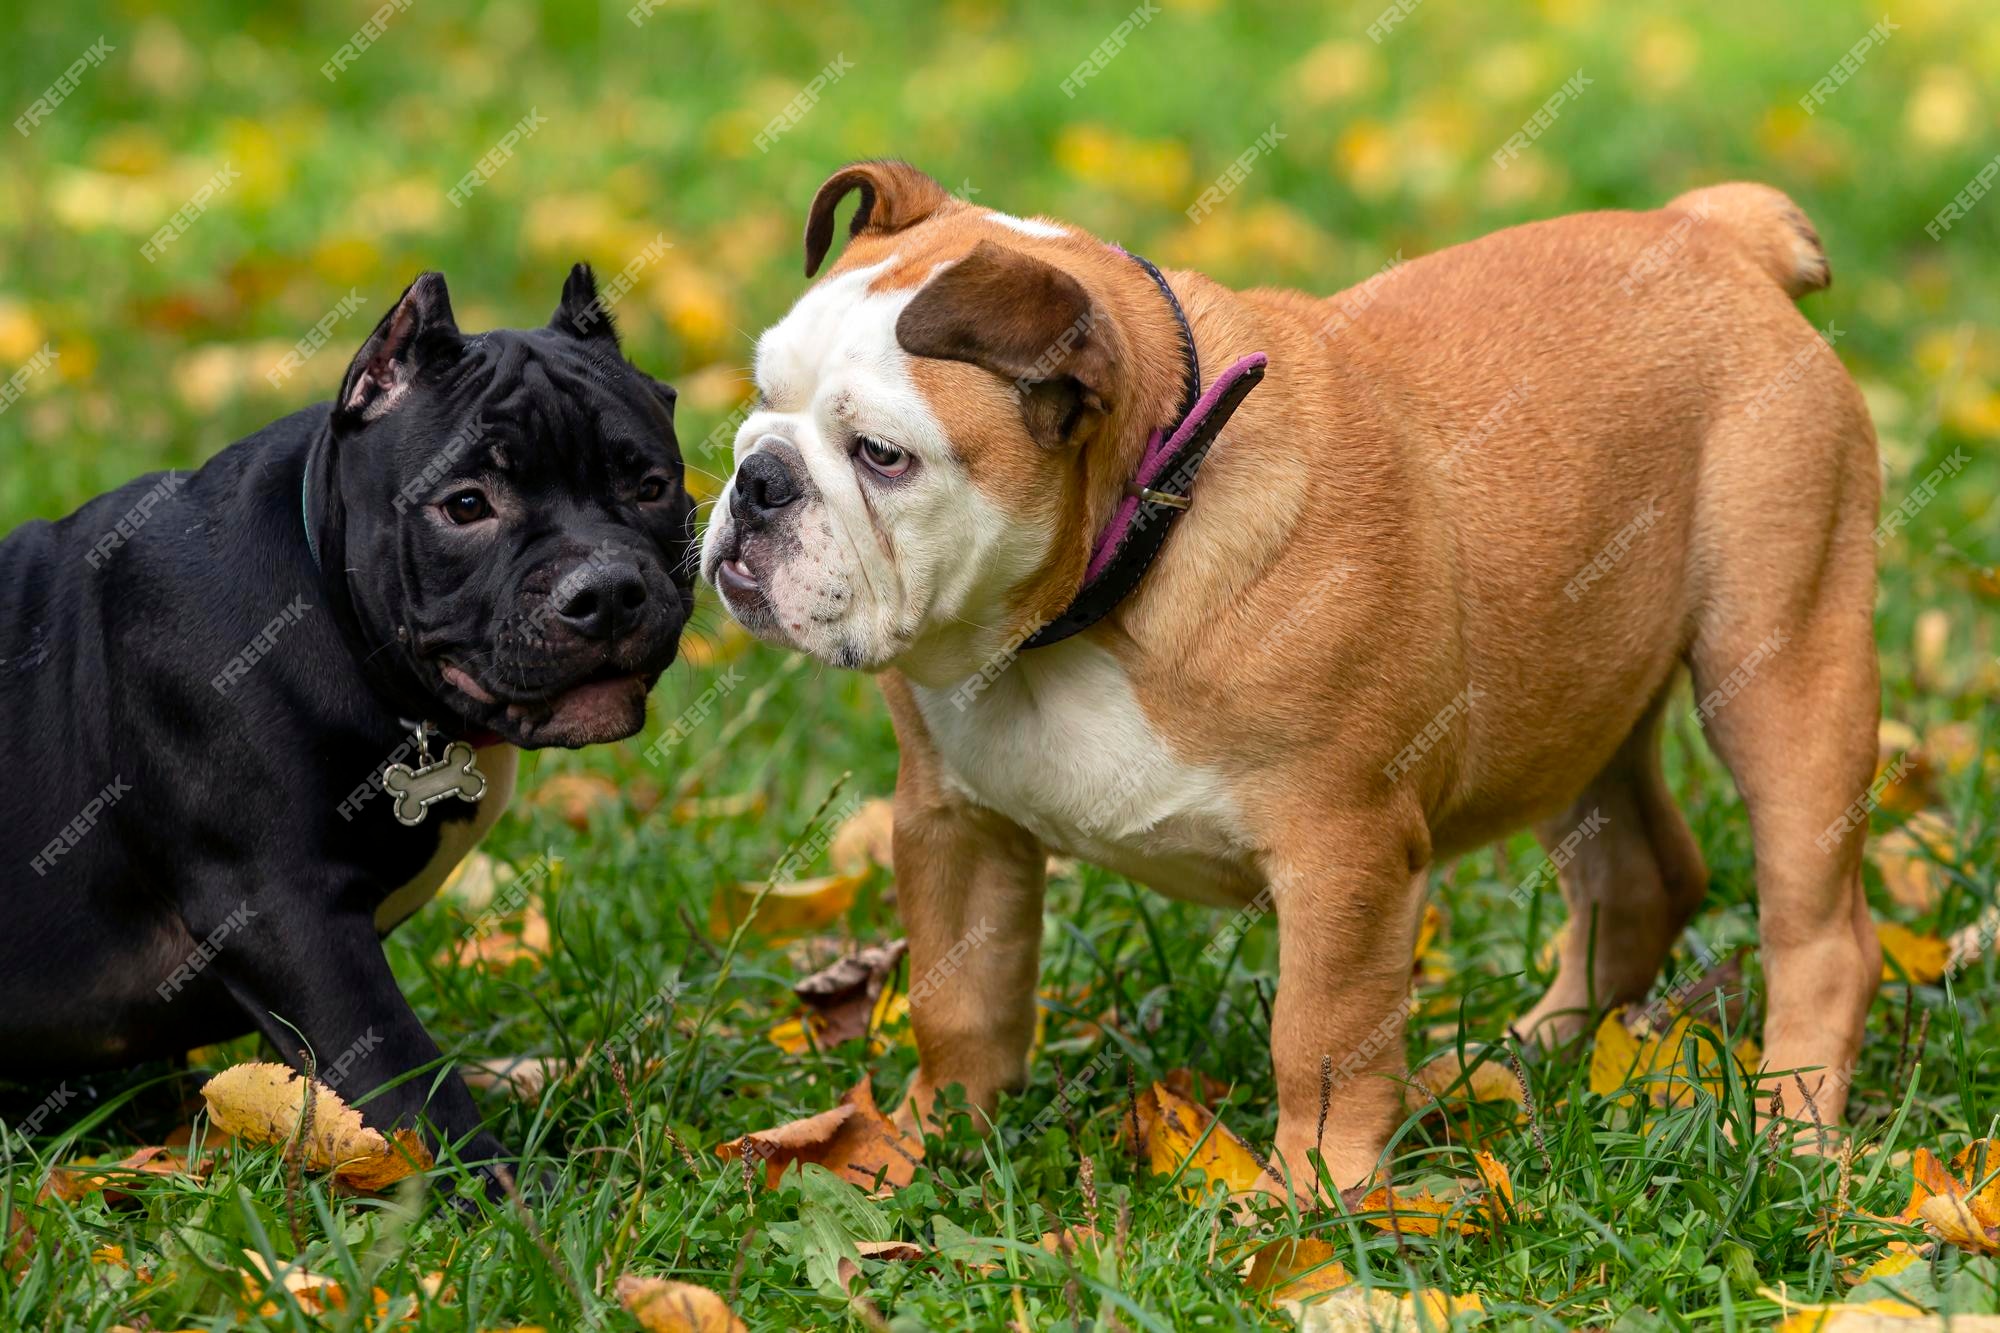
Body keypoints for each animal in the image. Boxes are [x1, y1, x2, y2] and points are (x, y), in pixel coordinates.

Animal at [0, 268, 696, 1176]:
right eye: (465, 505)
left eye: (651, 486)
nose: (607, 587)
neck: (328, 596)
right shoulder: (288, 911)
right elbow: (403, 1070)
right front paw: (491, 1185)